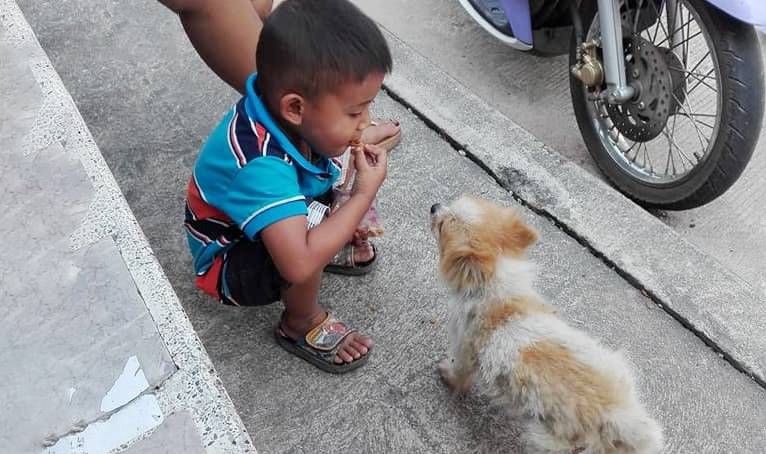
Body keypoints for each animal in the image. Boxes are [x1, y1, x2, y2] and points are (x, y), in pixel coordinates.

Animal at [428, 196, 664, 454]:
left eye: (442, 226)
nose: (434, 207)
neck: (498, 288)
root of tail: (616, 415)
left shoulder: (464, 345)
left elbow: (460, 371)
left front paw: (448, 376)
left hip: (550, 441)